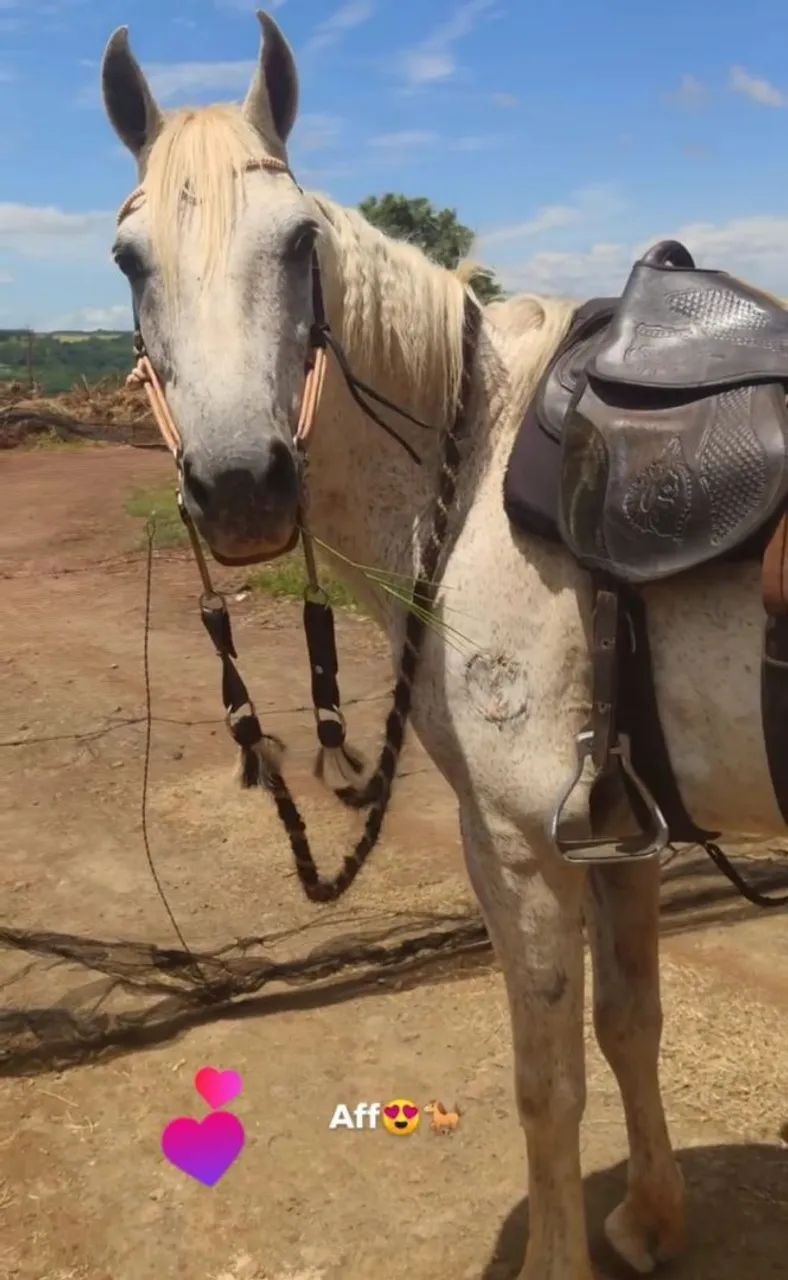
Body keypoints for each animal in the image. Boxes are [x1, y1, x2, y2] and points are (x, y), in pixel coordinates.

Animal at [101, 12, 786, 1279]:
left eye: (297, 241)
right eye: (130, 258)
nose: (241, 488)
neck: (480, 451)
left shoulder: (519, 843)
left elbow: (546, 1082)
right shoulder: (624, 827)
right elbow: (627, 1023)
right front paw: (648, 1218)